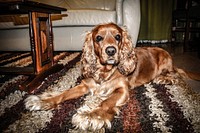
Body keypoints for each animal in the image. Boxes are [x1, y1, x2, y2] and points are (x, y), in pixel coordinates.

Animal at [25, 22, 200, 131]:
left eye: (118, 37)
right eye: (98, 38)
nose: (110, 51)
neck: (105, 72)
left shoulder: (122, 90)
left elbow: (106, 103)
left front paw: (91, 115)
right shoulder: (85, 85)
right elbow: (63, 94)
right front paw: (43, 101)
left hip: (165, 60)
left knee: (176, 74)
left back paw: (163, 78)